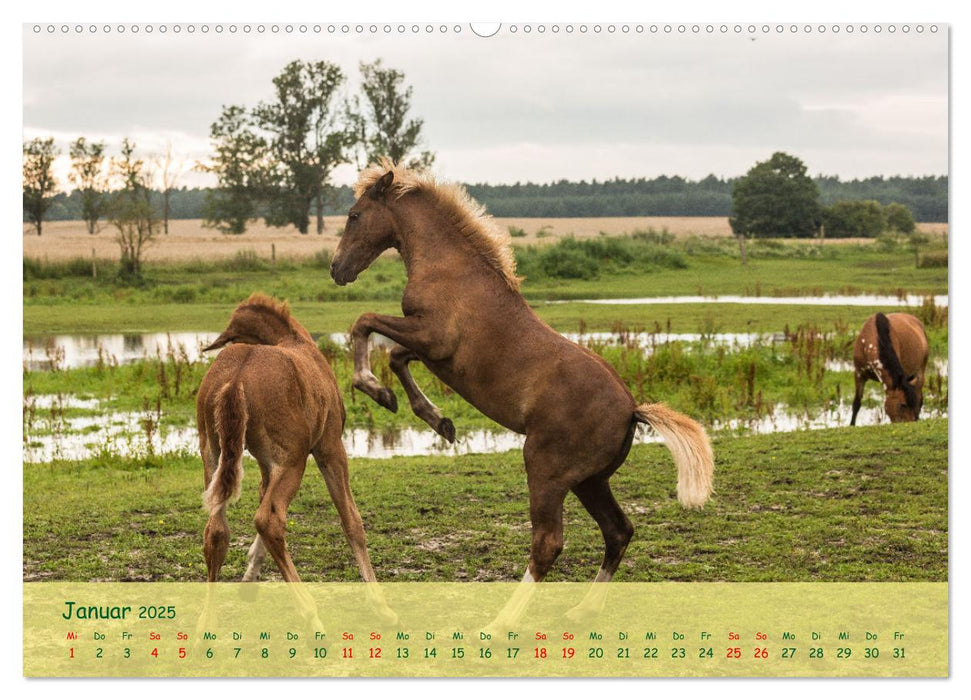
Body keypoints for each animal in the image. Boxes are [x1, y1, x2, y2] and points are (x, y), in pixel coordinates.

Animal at [196, 292, 382, 588]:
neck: (296, 340)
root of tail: (237, 377)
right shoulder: (330, 448)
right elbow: (351, 520)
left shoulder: (266, 462)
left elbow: (262, 493)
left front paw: (250, 573)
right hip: (295, 460)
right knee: (269, 520)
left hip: (214, 456)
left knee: (216, 531)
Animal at [328, 161, 712, 604]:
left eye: (354, 215)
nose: (336, 269)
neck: (451, 269)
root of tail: (632, 410)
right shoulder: (432, 350)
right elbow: (394, 355)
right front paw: (435, 419)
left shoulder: (432, 337)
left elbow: (365, 323)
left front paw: (373, 387)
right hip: (590, 481)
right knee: (618, 532)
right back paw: (581, 612)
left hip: (546, 470)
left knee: (548, 544)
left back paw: (503, 617)